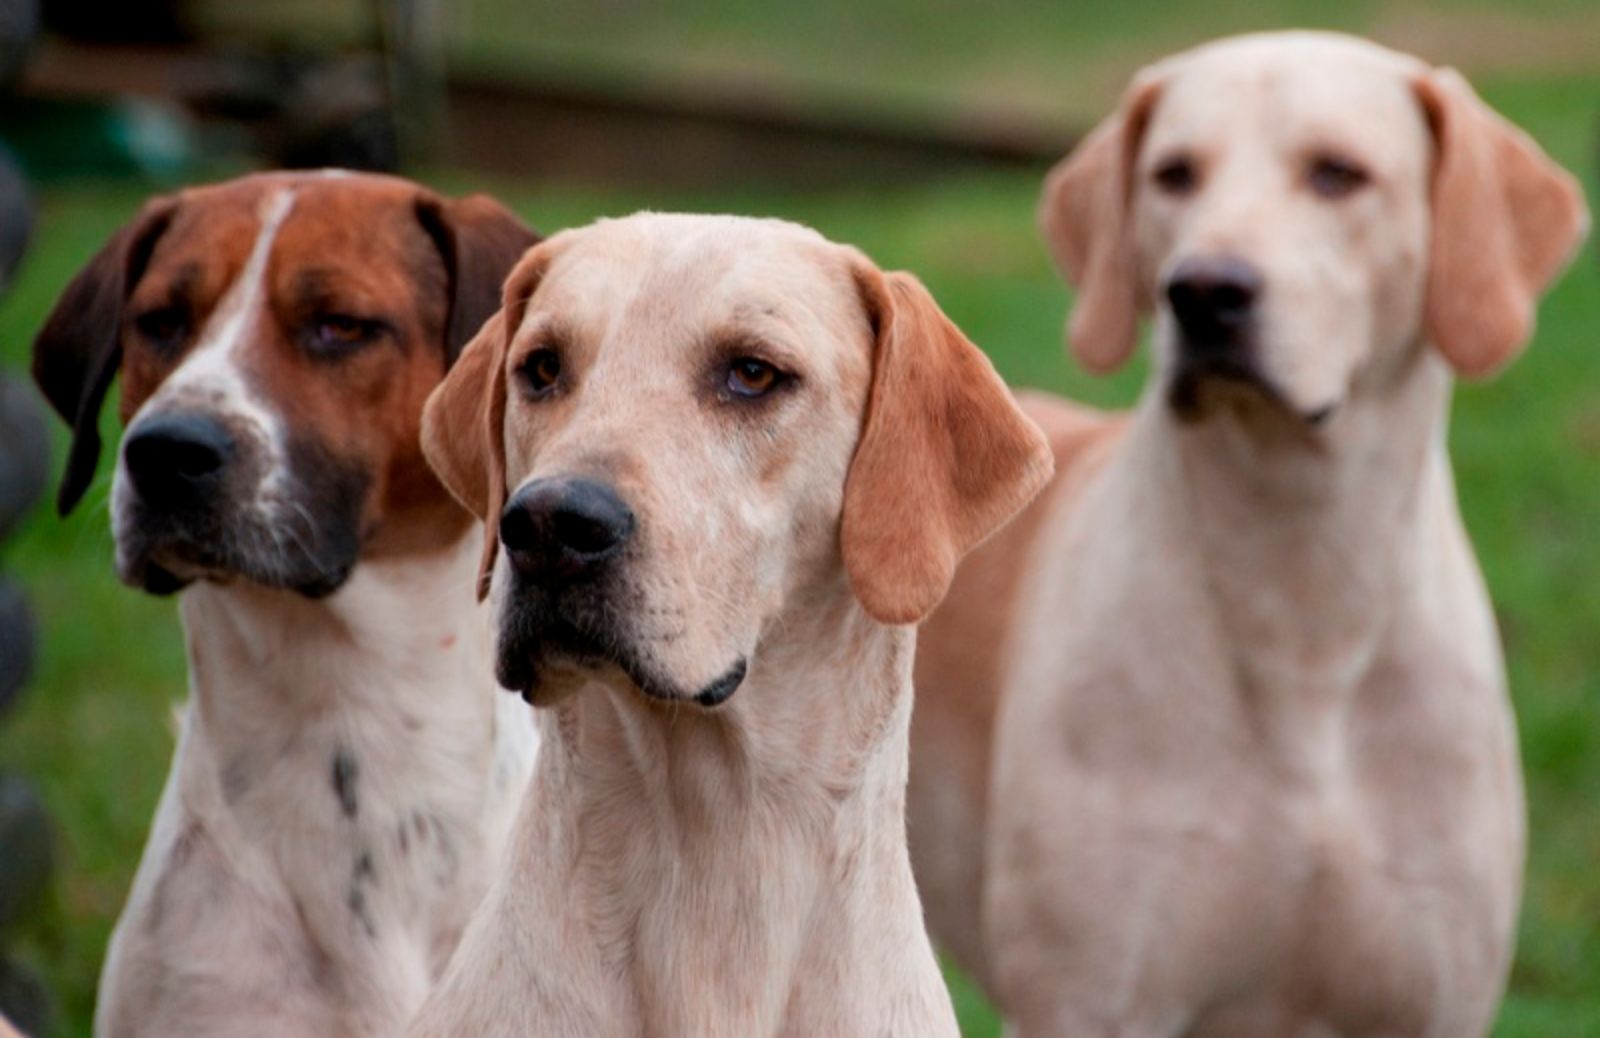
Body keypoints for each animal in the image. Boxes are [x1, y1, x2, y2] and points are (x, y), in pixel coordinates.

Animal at [908, 28, 1593, 1030]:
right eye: (1173, 175)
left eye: (1338, 174)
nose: (1202, 291)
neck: (1302, 594)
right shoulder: (1090, 1000)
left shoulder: (1436, 1002)